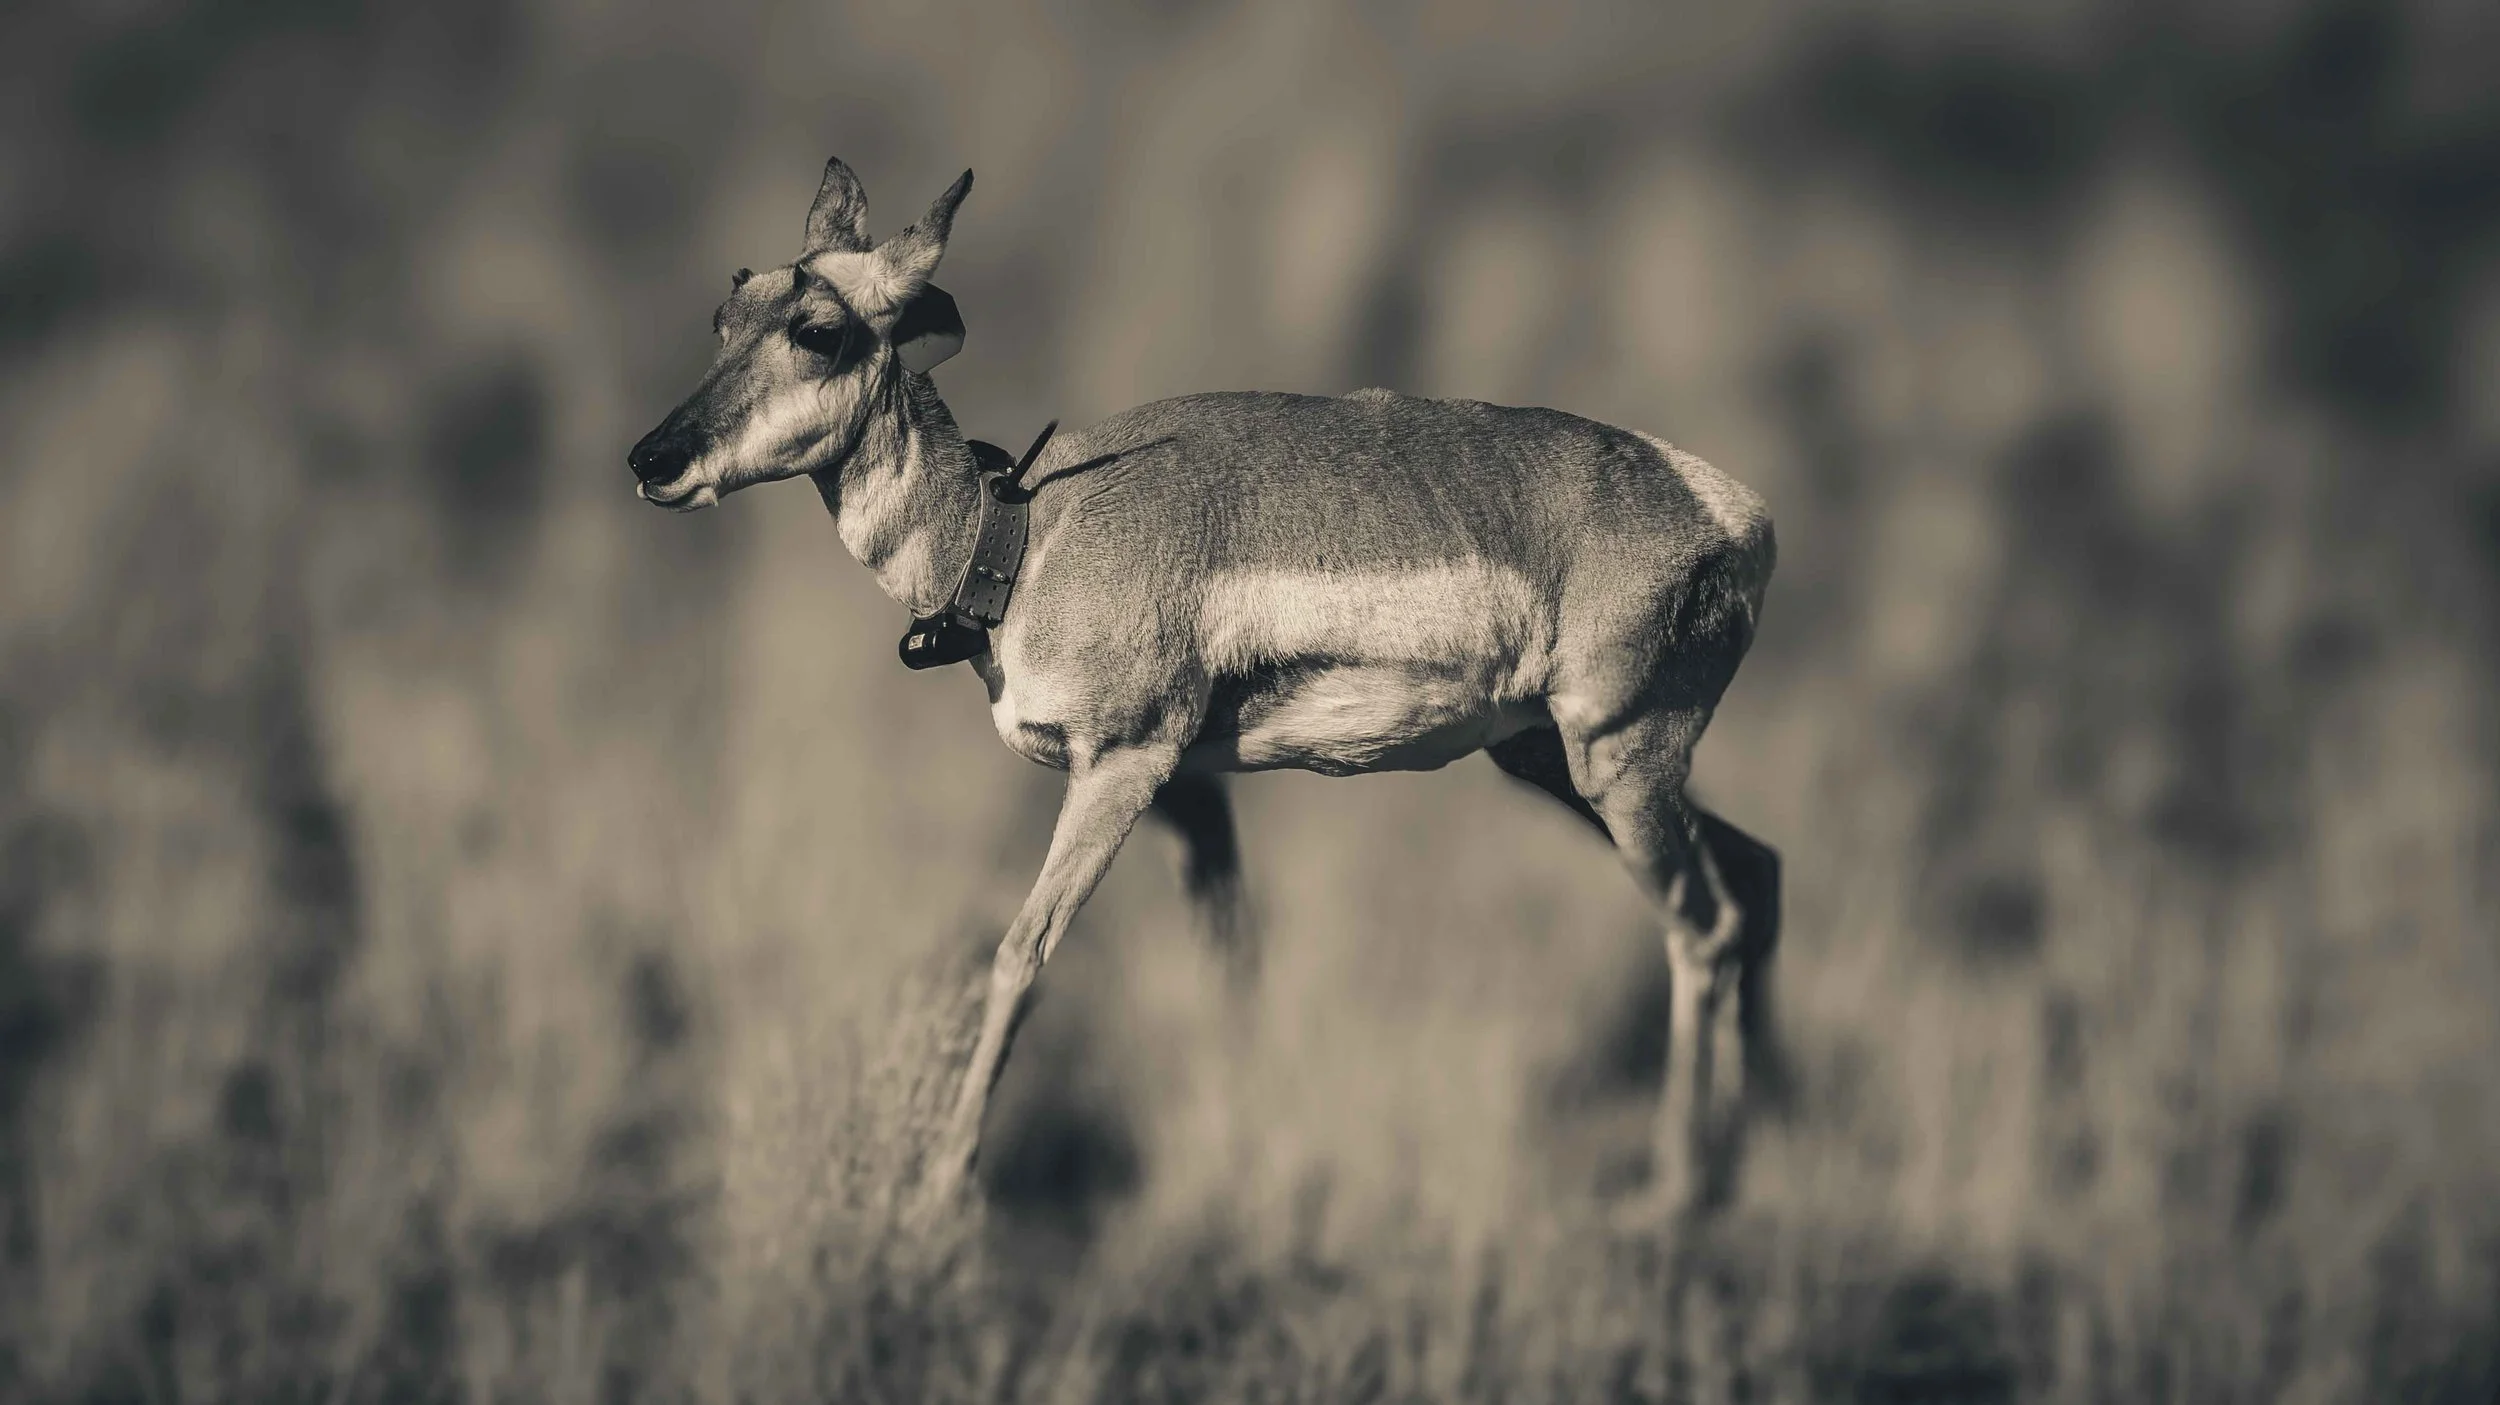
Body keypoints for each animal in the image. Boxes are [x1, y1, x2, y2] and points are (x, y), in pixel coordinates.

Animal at [627, 157, 1782, 1228]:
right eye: (728, 312)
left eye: (818, 330)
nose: (652, 456)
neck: (1021, 529)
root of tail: (1727, 505)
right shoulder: (1189, 791)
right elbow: (1231, 967)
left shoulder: (1122, 766)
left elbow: (1019, 953)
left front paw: (938, 1196)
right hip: (1549, 760)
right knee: (1752, 874)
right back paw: (1750, 1160)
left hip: (1617, 765)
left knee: (1699, 925)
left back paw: (1674, 1190)